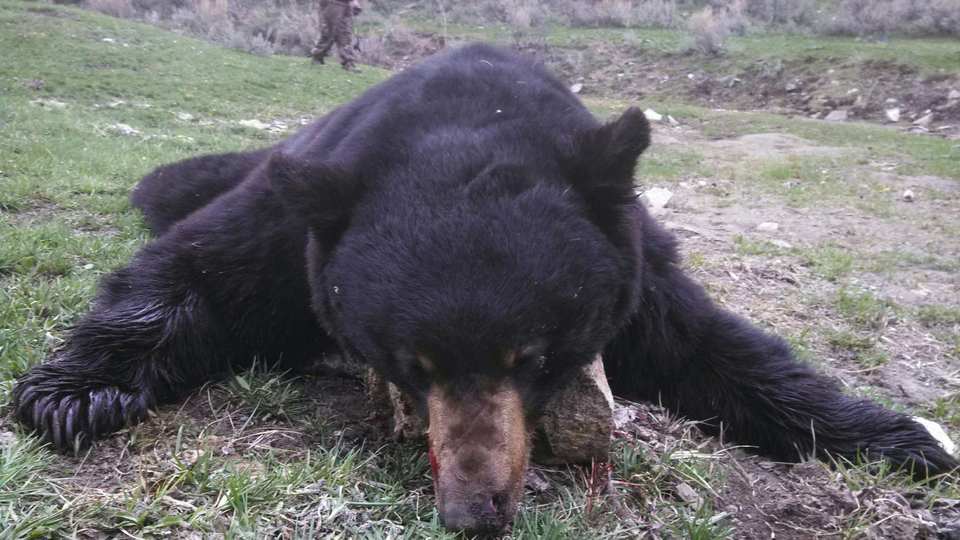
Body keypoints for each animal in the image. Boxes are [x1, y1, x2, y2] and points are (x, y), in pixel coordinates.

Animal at [12, 43, 957, 535]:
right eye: (412, 365)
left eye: (535, 357)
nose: (474, 511)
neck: (468, 122)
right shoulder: (300, 222)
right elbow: (194, 269)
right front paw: (75, 392)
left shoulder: (630, 255)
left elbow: (707, 344)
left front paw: (897, 435)